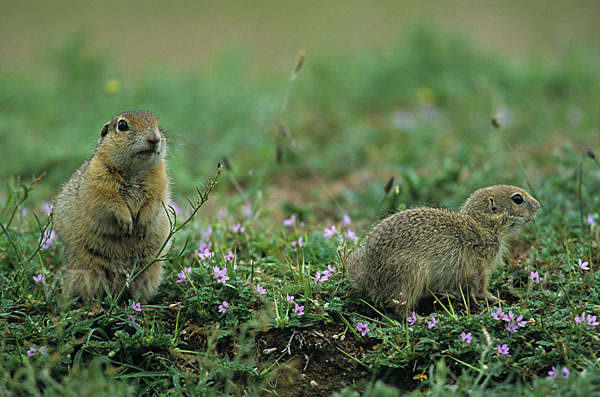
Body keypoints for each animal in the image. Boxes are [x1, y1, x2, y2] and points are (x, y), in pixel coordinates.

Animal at [53, 110, 169, 302]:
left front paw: (142, 225)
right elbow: (110, 203)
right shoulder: (98, 183)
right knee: (89, 295)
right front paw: (127, 223)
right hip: (85, 271)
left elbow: (155, 202)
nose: (154, 139)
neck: (134, 170)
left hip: (151, 273)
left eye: (157, 123)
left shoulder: (161, 183)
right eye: (122, 125)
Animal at [346, 184, 540, 314]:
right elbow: (479, 288)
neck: (482, 226)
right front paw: (492, 298)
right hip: (411, 275)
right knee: (399, 307)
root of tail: (369, 277)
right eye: (517, 199)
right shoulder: (479, 268)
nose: (538, 205)